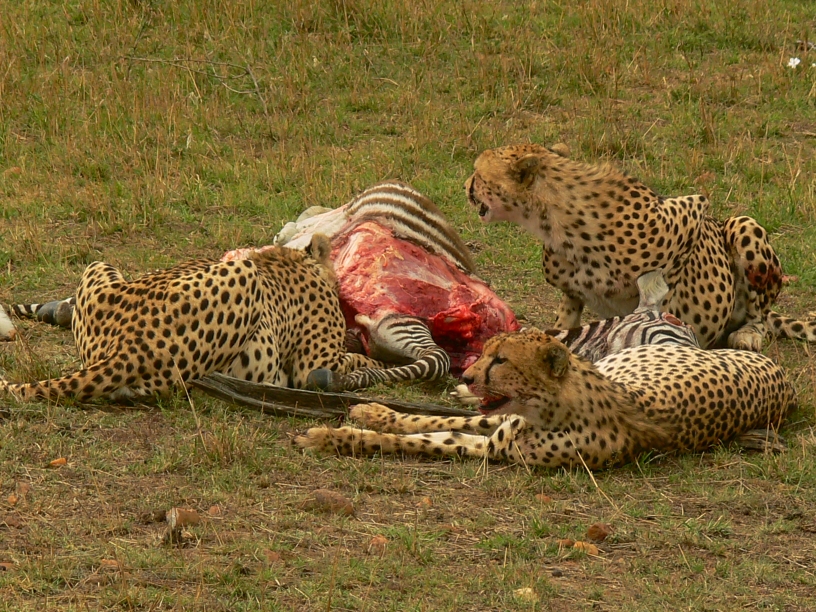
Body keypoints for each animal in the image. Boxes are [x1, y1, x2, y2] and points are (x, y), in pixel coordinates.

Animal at [0, 235, 392, 403]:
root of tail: (127, 343)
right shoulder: (316, 362)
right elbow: (348, 362)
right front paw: (371, 362)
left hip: (98, 265)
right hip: (245, 274)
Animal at [294, 328, 796, 469]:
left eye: (501, 360)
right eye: (486, 352)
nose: (470, 373)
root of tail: (783, 377)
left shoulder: (492, 449)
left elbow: (420, 439)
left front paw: (334, 437)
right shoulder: (497, 428)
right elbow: (423, 421)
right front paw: (371, 412)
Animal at [464, 143, 816, 351]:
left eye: (478, 173)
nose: (465, 185)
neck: (552, 218)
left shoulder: (691, 215)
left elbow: (664, 301)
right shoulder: (572, 289)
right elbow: (568, 313)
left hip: (744, 226)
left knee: (760, 314)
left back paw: (748, 332)